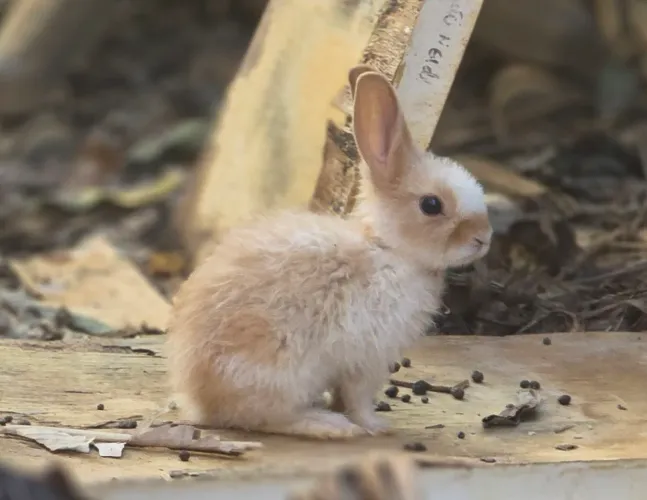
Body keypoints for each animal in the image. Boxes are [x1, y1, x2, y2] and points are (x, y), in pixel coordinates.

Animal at [166, 64, 492, 440]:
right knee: (265, 416)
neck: (390, 249)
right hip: (279, 370)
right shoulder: (367, 358)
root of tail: (199, 399)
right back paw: (329, 425)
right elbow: (358, 399)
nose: (484, 238)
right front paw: (376, 427)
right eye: (431, 205)